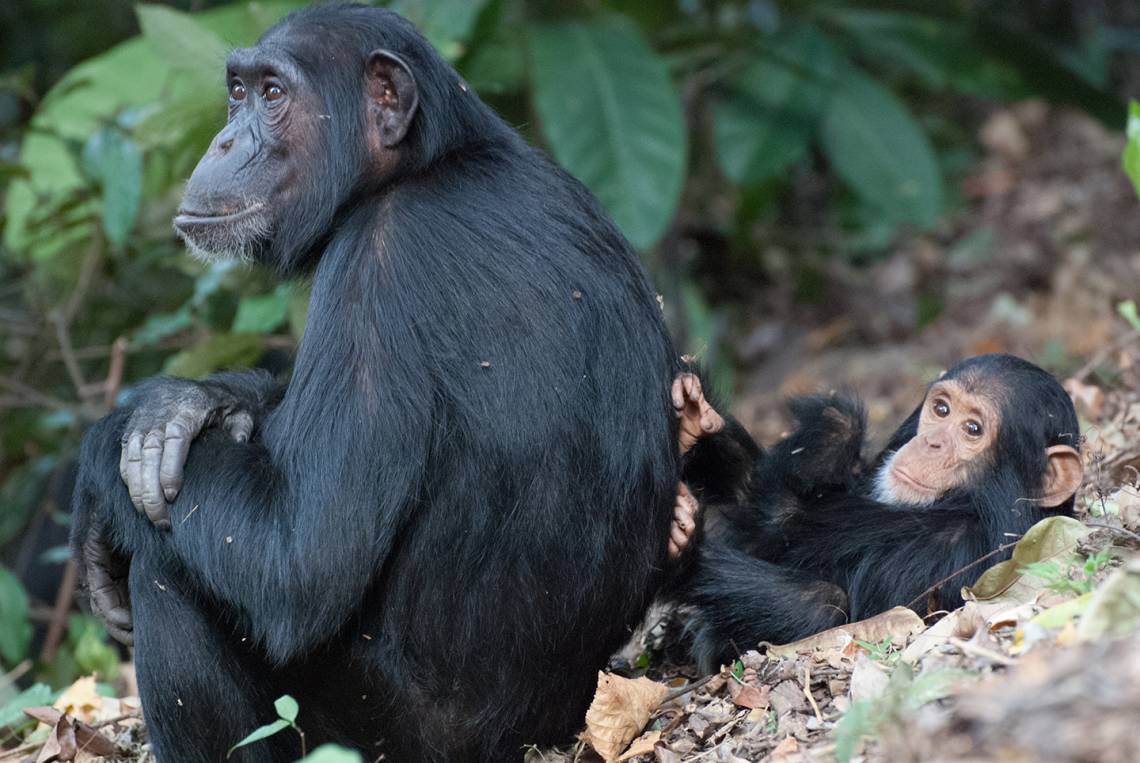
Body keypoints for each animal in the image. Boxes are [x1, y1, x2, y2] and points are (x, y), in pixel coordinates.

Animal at [71, 4, 684, 757]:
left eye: (273, 94)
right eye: (237, 91)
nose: (223, 140)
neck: (421, 169)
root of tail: (550, 730)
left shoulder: (375, 267)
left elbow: (298, 560)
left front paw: (113, 445)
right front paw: (188, 403)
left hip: (378, 732)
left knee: (172, 574)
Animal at [665, 353, 1076, 670]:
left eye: (973, 429)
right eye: (941, 409)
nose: (931, 442)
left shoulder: (964, 558)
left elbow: (833, 608)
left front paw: (684, 544)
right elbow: (766, 507)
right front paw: (694, 418)